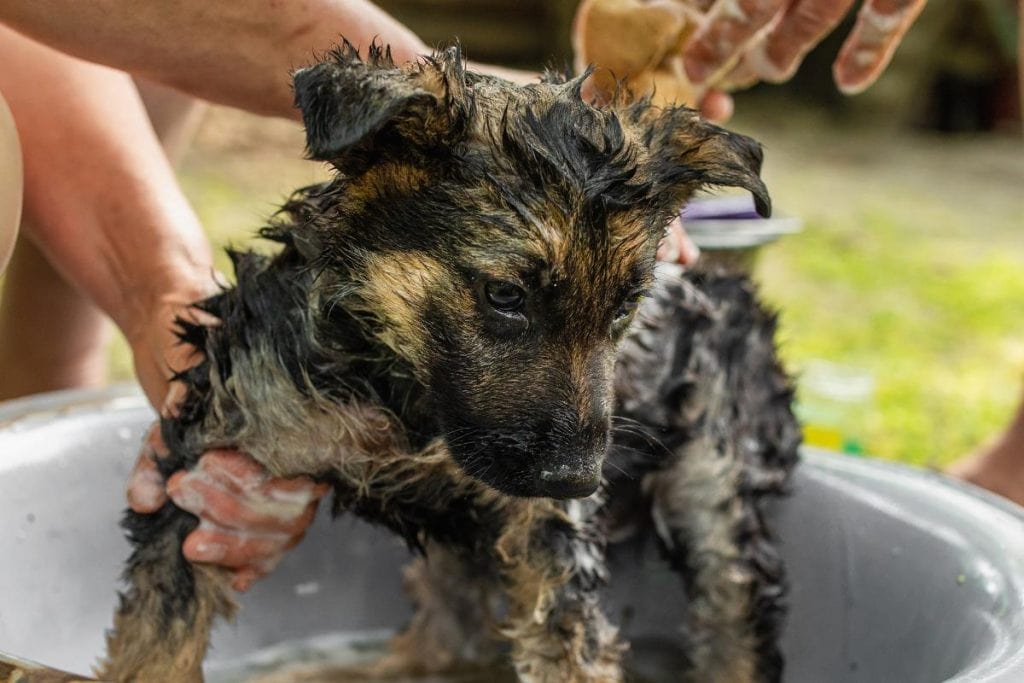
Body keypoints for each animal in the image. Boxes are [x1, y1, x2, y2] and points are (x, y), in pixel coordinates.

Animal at [97, 42, 798, 683]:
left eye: (627, 304)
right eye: (506, 294)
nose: (577, 481)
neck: (403, 391)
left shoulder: (548, 531)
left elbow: (567, 642)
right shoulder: (224, 439)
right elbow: (154, 643)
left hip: (721, 479)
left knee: (732, 614)